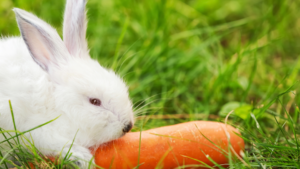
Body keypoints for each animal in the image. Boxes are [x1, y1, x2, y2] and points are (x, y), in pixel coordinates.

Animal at [0, 0, 134, 168]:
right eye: (94, 101)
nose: (128, 126)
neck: (58, 104)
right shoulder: (40, 133)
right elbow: (62, 146)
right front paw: (85, 160)